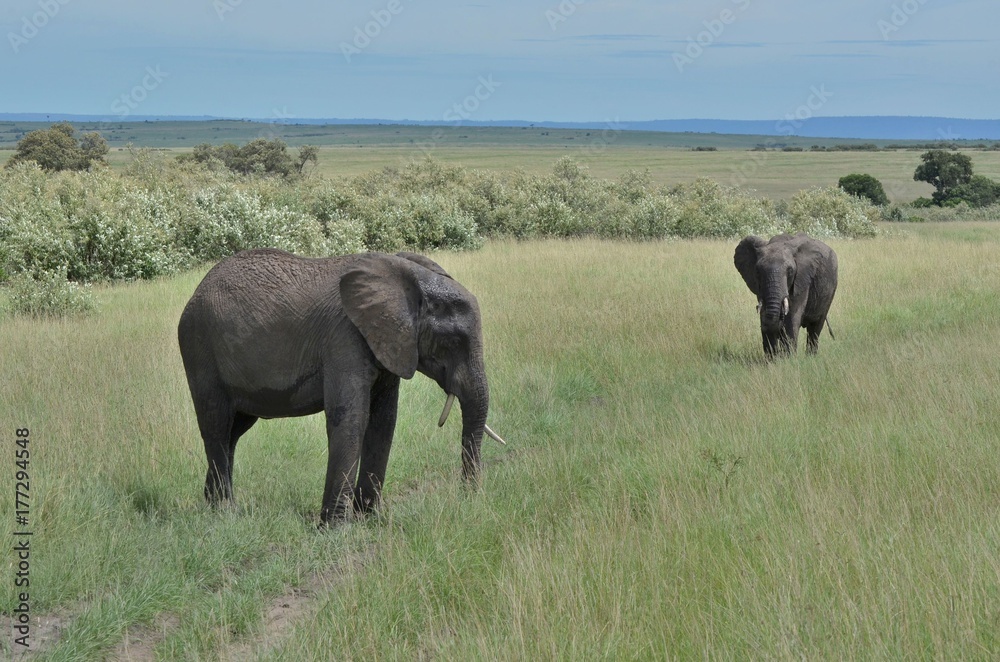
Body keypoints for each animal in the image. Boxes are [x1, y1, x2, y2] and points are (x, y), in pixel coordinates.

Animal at [177, 246, 504, 528]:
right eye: (453, 341)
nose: (467, 497)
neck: (406, 279)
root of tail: (194, 294)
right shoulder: (344, 337)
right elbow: (350, 420)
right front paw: (336, 529)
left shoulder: (387, 343)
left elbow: (383, 422)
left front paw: (369, 519)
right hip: (198, 346)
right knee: (216, 425)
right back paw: (225, 512)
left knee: (233, 431)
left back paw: (212, 503)